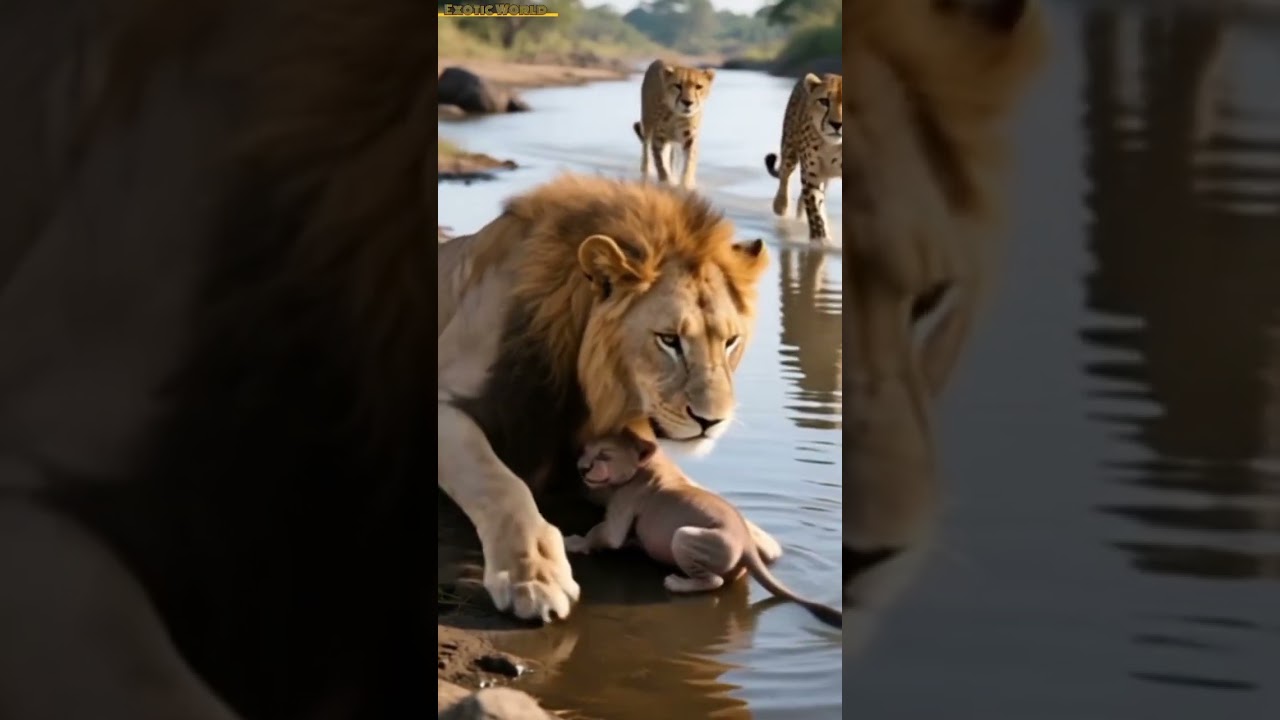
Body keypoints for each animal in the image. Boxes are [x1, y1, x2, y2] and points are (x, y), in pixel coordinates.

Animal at [439, 173, 781, 624]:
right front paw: (533, 575)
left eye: (730, 341)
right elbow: (499, 483)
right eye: (669, 340)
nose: (713, 422)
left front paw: (751, 531)